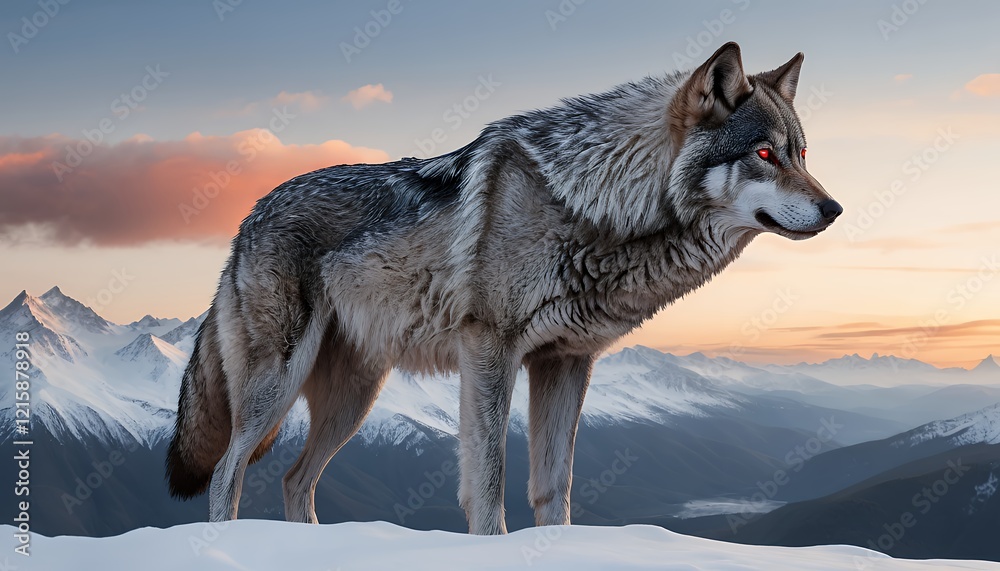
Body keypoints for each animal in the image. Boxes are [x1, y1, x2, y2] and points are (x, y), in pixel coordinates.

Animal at [166, 42, 841, 535]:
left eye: (803, 154)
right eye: (764, 153)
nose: (834, 209)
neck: (594, 204)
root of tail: (246, 218)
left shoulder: (566, 361)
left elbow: (553, 487)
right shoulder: (489, 350)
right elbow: (489, 485)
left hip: (352, 401)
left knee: (293, 479)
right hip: (280, 385)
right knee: (227, 472)